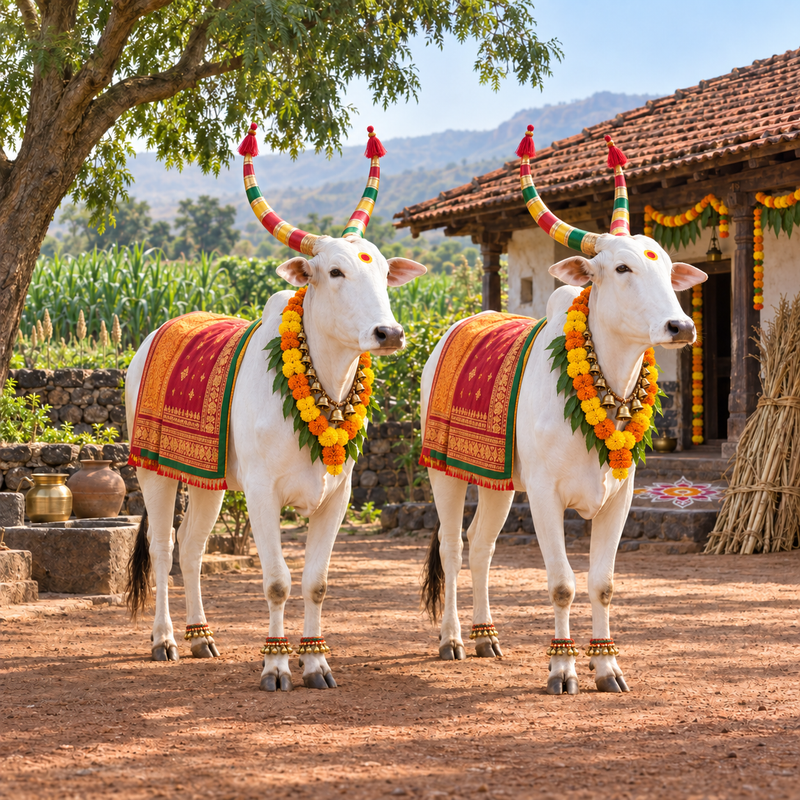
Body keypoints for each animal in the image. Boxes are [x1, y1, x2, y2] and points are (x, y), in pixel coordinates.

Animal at [125, 127, 426, 691]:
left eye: (382, 274)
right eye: (334, 271)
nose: (389, 333)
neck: (321, 386)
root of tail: (153, 336)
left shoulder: (338, 495)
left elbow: (316, 583)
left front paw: (317, 664)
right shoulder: (263, 494)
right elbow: (278, 583)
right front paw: (276, 666)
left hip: (209, 480)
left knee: (192, 547)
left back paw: (202, 638)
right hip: (153, 470)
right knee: (162, 548)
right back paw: (164, 640)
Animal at [420, 128, 706, 694]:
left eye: (667, 269)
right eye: (621, 267)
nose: (680, 326)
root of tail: (451, 331)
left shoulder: (621, 495)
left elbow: (603, 584)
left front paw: (607, 668)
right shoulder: (546, 497)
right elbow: (561, 585)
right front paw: (561, 669)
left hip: (499, 483)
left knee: (481, 545)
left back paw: (486, 638)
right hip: (445, 472)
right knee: (450, 546)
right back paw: (454, 640)